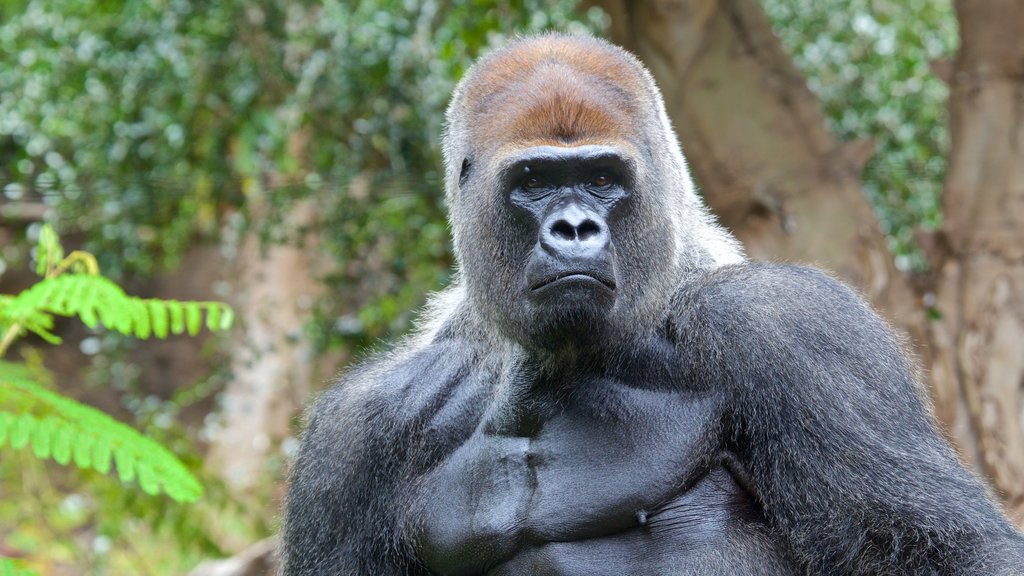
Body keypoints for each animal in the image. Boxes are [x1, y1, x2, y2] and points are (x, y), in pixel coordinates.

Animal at [280, 33, 1024, 569]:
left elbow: (938, 548)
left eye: (603, 178)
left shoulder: (795, 327)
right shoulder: (356, 432)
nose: (574, 229)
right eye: (534, 181)